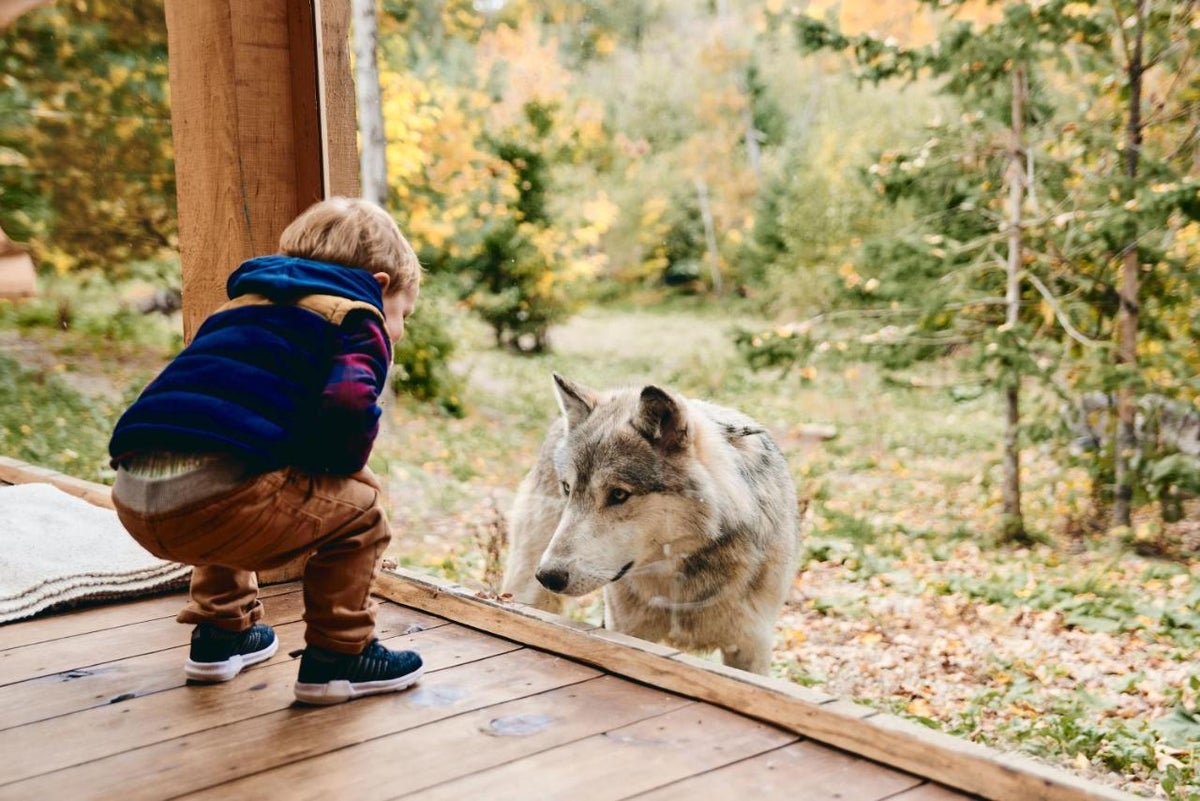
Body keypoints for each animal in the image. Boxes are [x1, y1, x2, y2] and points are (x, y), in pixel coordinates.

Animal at [501, 371, 801, 671]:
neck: (677, 576)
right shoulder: (625, 631)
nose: (548, 576)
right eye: (567, 488)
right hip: (528, 592)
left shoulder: (752, 648)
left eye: (618, 494)